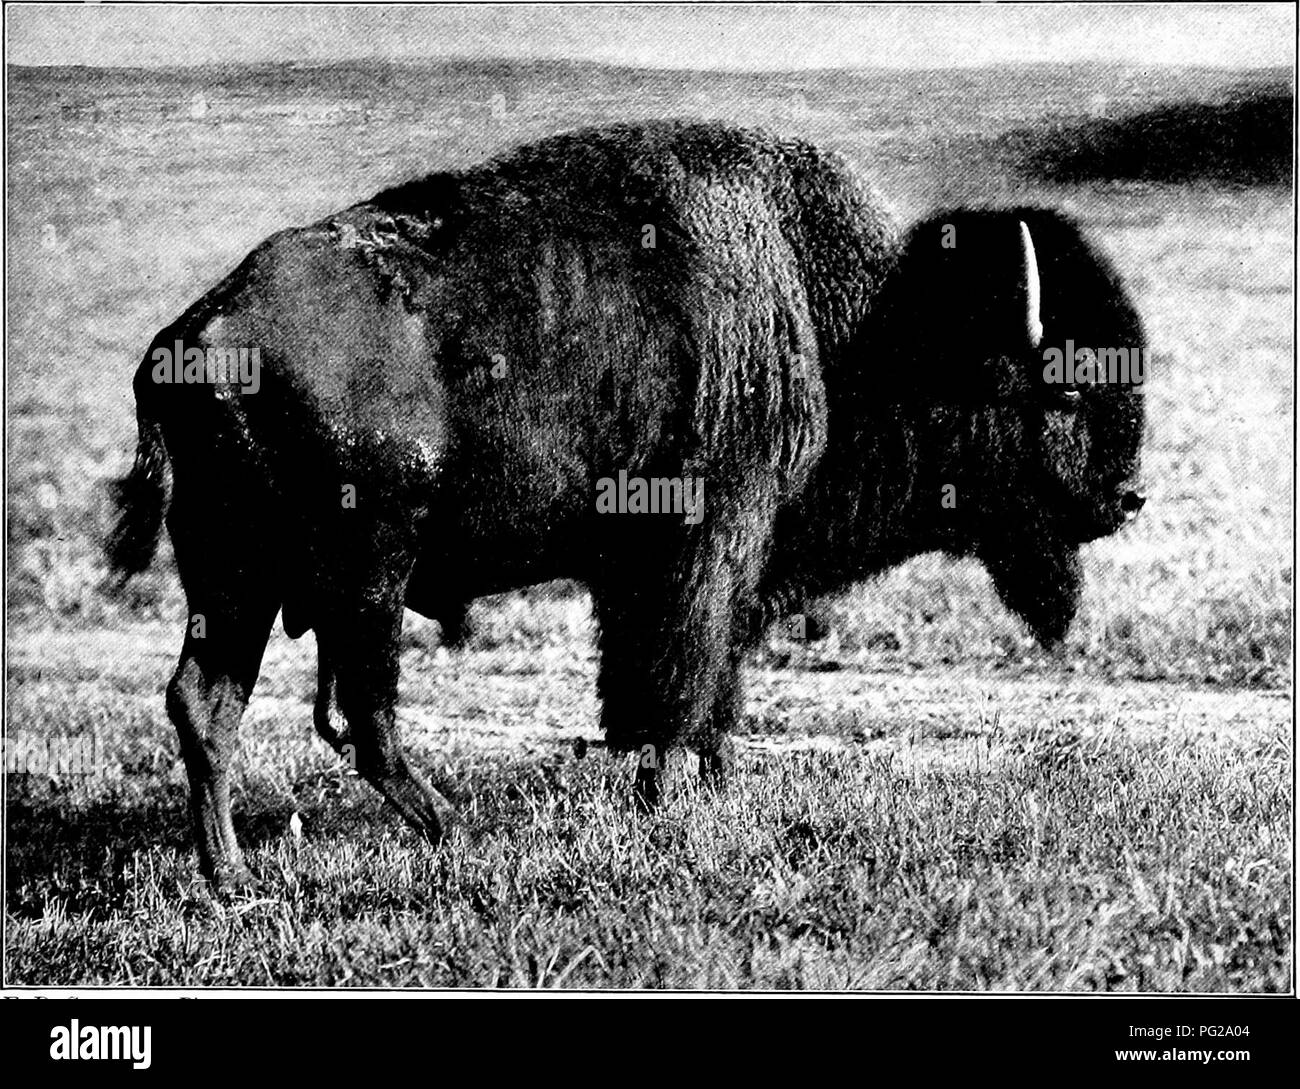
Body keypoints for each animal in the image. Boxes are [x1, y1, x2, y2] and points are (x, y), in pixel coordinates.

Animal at [109, 119, 1149, 888]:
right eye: (1061, 388)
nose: (1129, 495)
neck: (865, 328)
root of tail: (193, 337)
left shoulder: (669, 570)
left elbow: (690, 682)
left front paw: (713, 788)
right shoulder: (707, 544)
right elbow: (678, 680)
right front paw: (669, 801)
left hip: (237, 579)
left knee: (209, 704)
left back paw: (232, 875)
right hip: (365, 574)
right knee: (362, 716)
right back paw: (450, 830)